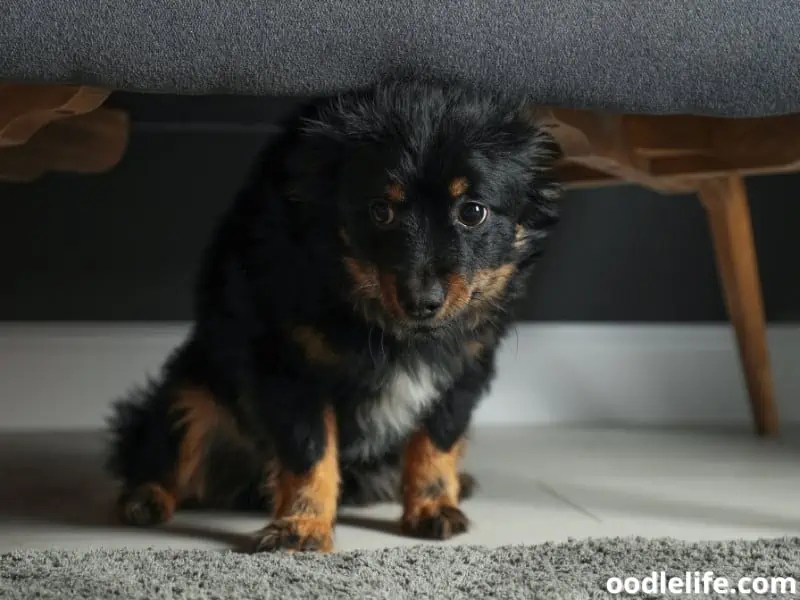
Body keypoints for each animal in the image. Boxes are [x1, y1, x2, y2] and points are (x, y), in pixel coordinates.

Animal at [106, 79, 564, 552]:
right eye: (380, 211)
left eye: (473, 211)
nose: (421, 301)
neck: (390, 329)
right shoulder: (287, 365)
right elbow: (311, 452)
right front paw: (302, 525)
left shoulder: (465, 368)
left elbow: (435, 441)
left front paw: (433, 506)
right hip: (190, 391)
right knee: (160, 452)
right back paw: (144, 498)